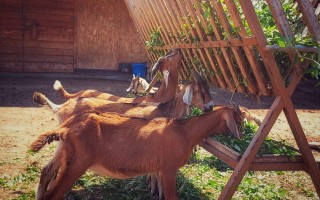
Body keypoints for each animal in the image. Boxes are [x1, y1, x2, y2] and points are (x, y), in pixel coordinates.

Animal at [31, 105, 244, 199]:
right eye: (239, 120)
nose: (241, 135)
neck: (184, 132)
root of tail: (66, 127)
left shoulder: (159, 170)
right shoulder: (169, 169)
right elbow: (172, 197)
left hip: (65, 154)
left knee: (47, 173)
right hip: (77, 164)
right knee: (54, 194)